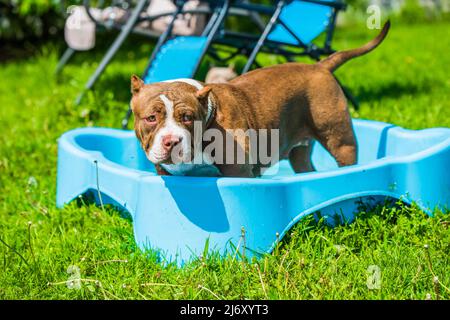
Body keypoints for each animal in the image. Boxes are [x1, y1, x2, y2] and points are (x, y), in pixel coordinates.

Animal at [129, 21, 390, 178]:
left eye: (187, 117)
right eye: (151, 118)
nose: (171, 141)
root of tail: (319, 66)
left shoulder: (238, 172)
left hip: (339, 138)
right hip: (299, 149)